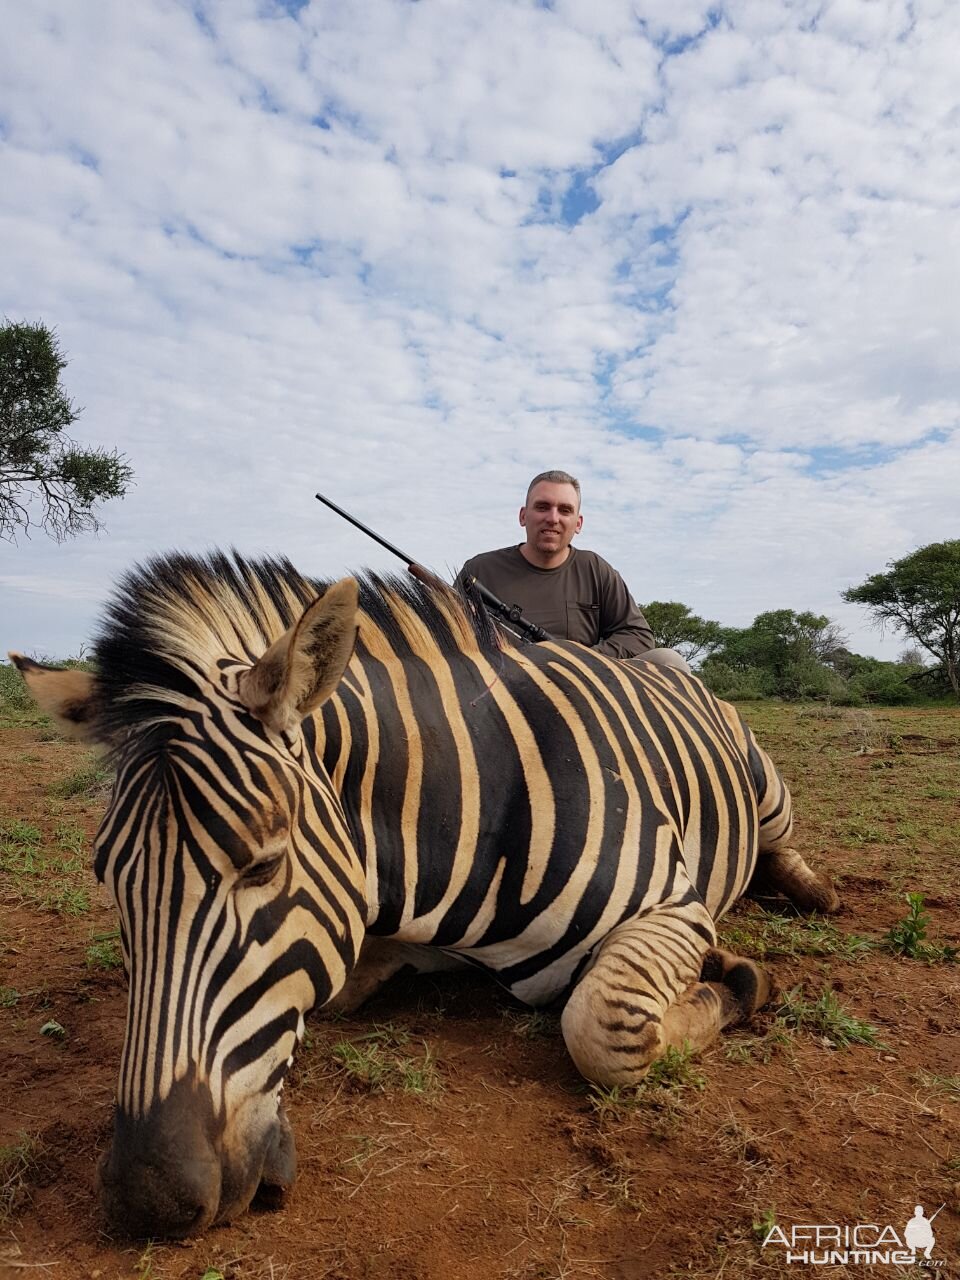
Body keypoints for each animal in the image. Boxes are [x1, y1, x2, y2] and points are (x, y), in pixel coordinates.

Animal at [11, 550, 839, 1239]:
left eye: (263, 866)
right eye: (107, 877)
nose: (147, 1200)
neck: (462, 814)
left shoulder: (672, 906)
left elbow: (603, 1031)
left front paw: (735, 978)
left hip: (763, 787)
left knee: (779, 842)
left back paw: (812, 889)